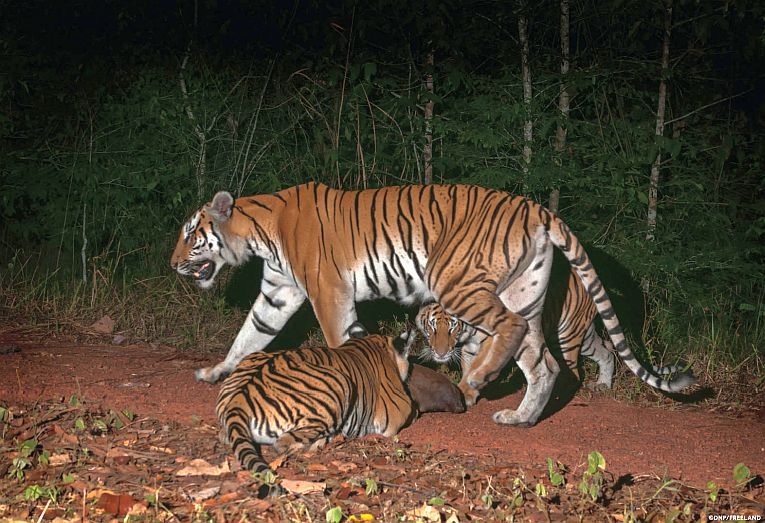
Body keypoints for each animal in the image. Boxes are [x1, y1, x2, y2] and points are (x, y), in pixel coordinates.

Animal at [172, 182, 695, 427]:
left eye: (191, 235)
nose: (173, 263)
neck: (259, 233)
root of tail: (537, 207)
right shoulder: (279, 293)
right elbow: (249, 335)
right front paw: (215, 372)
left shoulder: (327, 292)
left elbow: (340, 341)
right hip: (524, 293)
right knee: (543, 362)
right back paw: (520, 417)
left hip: (459, 281)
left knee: (509, 331)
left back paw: (477, 379)